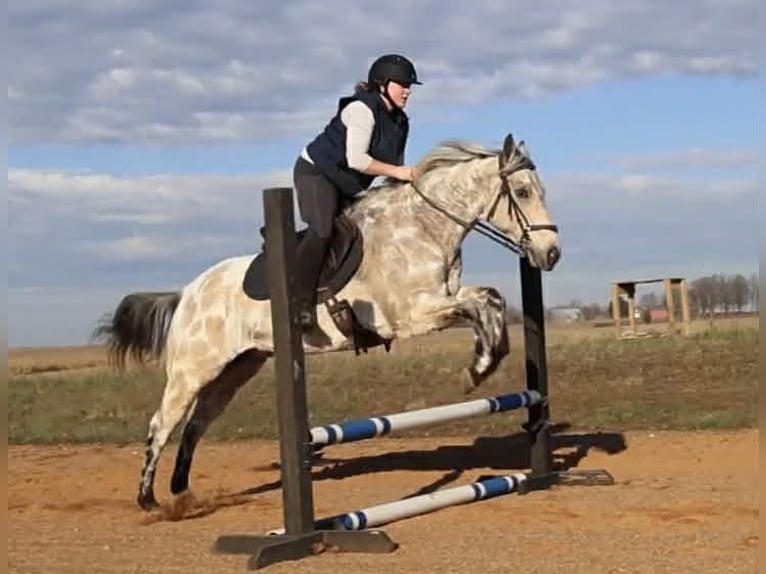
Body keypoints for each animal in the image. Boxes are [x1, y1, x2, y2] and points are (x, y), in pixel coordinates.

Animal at [93, 133, 561, 511]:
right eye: (521, 191)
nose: (550, 253)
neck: (422, 229)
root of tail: (187, 293)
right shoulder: (411, 314)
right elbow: (479, 304)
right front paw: (476, 370)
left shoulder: (440, 301)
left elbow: (490, 300)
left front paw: (487, 360)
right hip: (192, 369)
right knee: (163, 423)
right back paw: (149, 500)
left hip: (238, 369)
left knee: (196, 425)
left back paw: (183, 494)